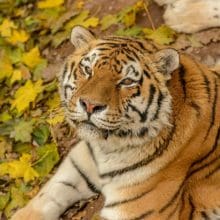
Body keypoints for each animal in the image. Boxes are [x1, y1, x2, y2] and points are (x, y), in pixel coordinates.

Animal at [11, 26, 220, 220]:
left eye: (126, 81)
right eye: (88, 70)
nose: (90, 105)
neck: (106, 148)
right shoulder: (78, 162)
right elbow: (44, 198)